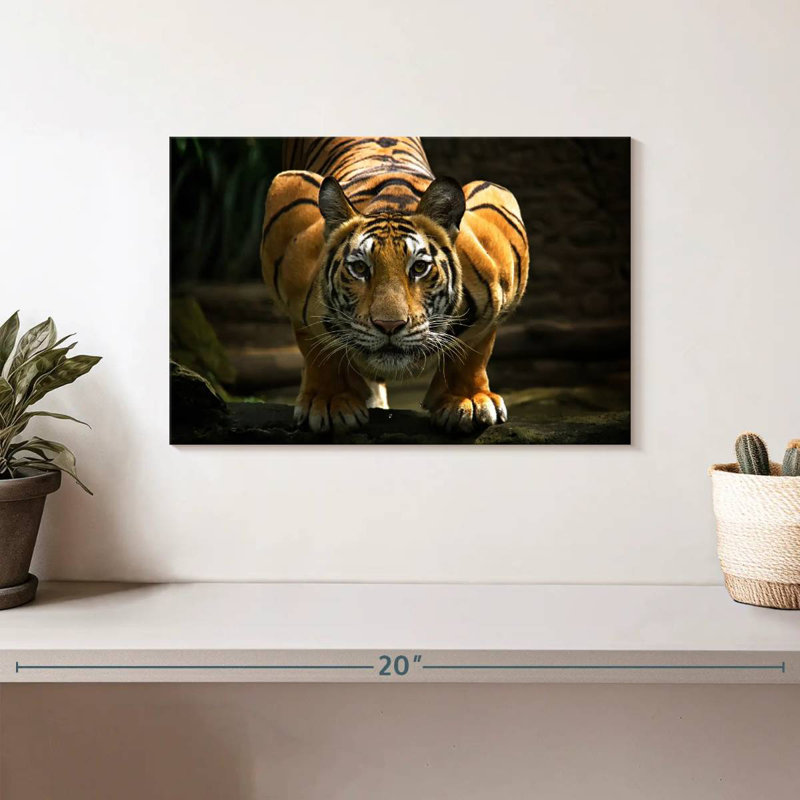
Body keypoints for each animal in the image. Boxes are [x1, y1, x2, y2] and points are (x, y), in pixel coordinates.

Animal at [260, 137, 529, 434]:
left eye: (419, 268)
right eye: (360, 268)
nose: (389, 326)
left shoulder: (497, 206)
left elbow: (474, 347)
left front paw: (467, 400)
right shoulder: (289, 205)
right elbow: (319, 346)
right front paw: (329, 401)